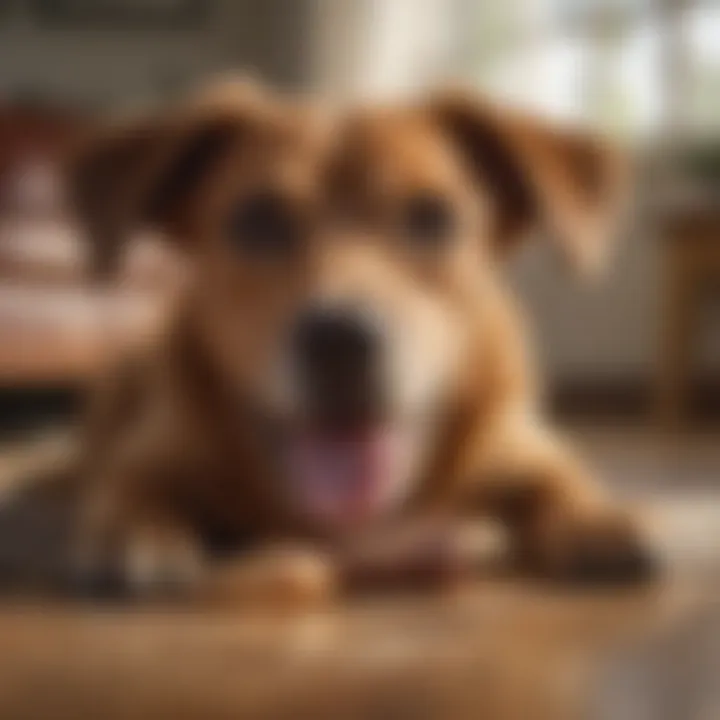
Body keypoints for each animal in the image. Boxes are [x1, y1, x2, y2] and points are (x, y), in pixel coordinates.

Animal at [64, 77, 656, 596]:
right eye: (256, 220)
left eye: (432, 217)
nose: (340, 341)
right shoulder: (155, 453)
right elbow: (129, 485)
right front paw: (131, 530)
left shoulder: (520, 446)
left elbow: (562, 480)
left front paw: (595, 518)